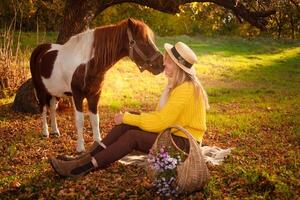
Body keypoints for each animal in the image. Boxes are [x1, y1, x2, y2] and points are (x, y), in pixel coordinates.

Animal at [29, 19, 164, 153]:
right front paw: (80, 147)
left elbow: (95, 119)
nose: (161, 64)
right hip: (40, 89)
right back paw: (45, 132)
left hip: (56, 91)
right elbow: (80, 120)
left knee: (52, 107)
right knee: (43, 108)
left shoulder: (95, 95)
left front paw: (98, 142)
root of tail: (40, 49)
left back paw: (55, 131)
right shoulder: (77, 96)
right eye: (142, 41)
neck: (88, 64)